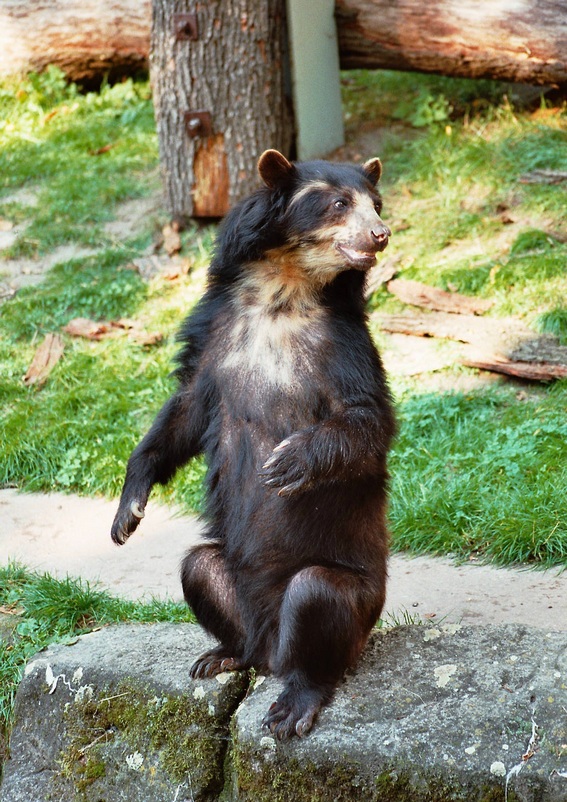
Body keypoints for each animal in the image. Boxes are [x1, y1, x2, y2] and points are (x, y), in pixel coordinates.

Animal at [111, 150, 394, 736]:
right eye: (339, 203)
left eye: (376, 203)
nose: (381, 234)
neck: (282, 290)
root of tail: (272, 647)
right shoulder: (215, 336)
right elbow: (183, 410)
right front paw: (127, 515)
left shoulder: (346, 343)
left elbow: (367, 417)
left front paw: (288, 462)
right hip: (235, 589)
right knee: (199, 568)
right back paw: (221, 656)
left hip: (357, 605)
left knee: (316, 597)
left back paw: (293, 705)